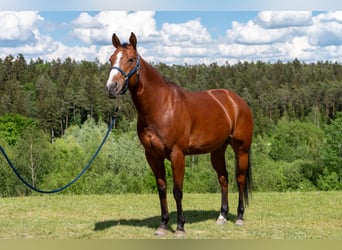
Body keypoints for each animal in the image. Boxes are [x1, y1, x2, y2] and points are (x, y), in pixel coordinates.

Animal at [105, 31, 252, 236]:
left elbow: (177, 191)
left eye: (131, 59)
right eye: (111, 59)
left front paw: (180, 226)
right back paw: (222, 216)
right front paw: (163, 225)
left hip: (242, 149)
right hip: (217, 151)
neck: (161, 107)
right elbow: (162, 189)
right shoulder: (152, 156)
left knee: (240, 179)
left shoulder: (177, 155)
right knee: (223, 178)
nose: (112, 87)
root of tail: (236, 101)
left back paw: (239, 216)